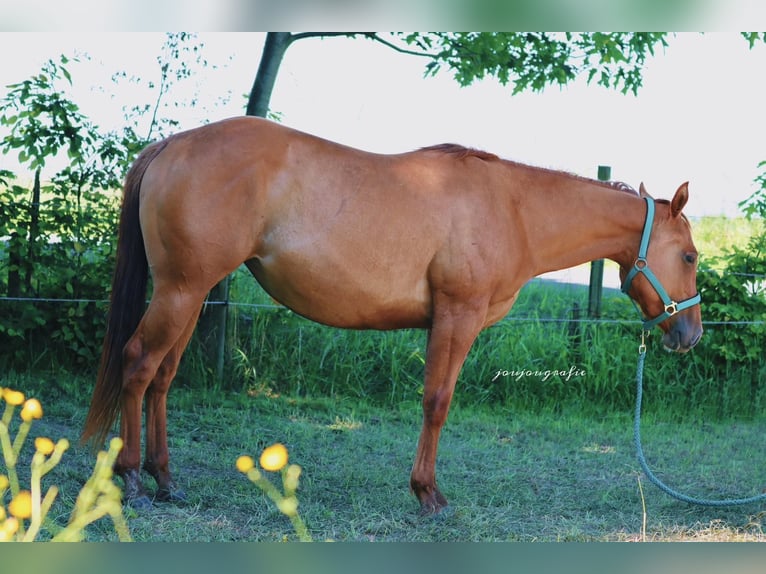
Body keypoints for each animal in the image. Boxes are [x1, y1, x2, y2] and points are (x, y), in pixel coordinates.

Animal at [82, 116, 704, 512]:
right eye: (691, 257)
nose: (690, 333)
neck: (514, 208)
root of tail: (174, 144)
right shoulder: (456, 318)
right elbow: (437, 403)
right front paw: (428, 494)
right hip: (180, 291)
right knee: (138, 365)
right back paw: (132, 478)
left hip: (191, 293)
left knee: (162, 377)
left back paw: (166, 480)